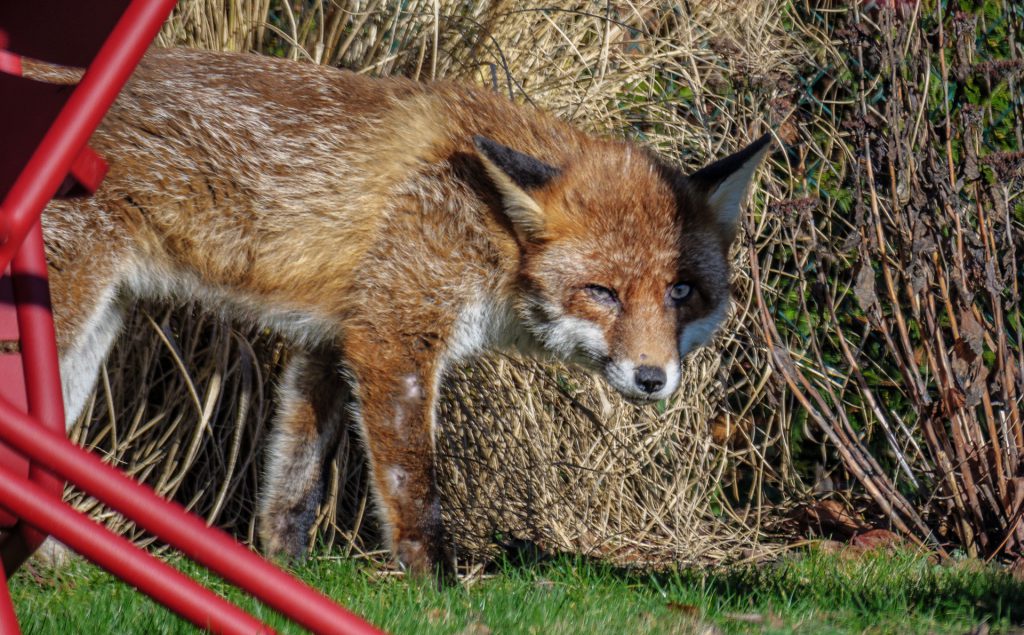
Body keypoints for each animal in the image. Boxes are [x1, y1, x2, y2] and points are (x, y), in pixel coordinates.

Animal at [36, 47, 770, 577]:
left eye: (681, 292)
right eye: (603, 292)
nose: (652, 378)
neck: (485, 218)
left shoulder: (333, 340)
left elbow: (293, 482)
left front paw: (283, 569)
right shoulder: (392, 335)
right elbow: (413, 483)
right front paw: (435, 583)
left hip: (94, 329)